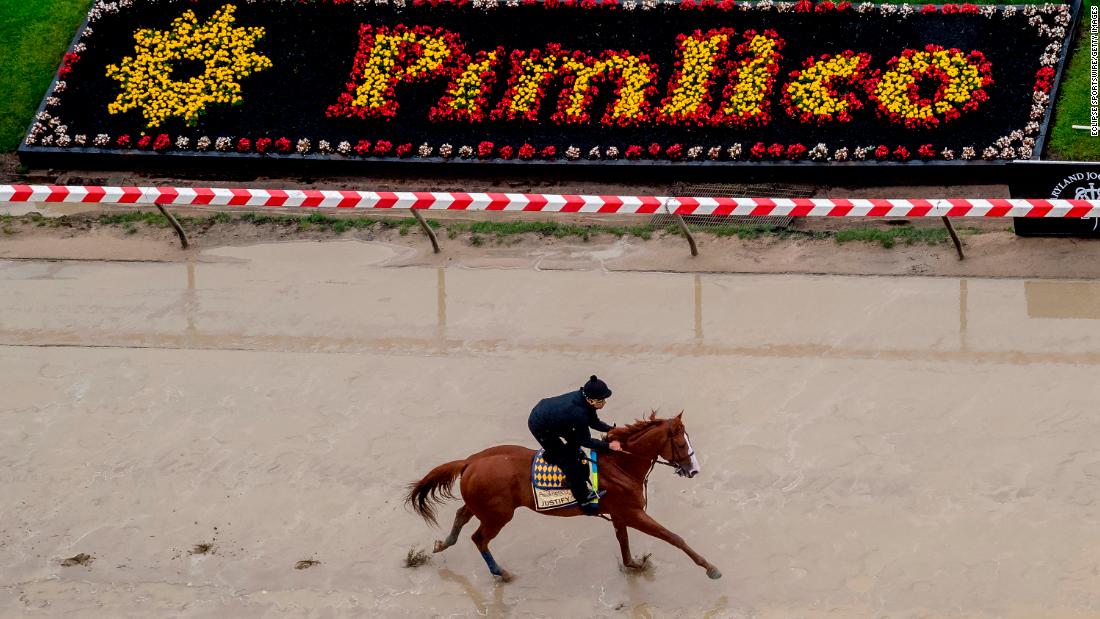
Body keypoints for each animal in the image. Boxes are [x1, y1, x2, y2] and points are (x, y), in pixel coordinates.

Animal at [404, 413, 721, 584]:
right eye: (681, 444)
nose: (694, 469)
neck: (620, 463)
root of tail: (470, 461)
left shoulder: (620, 514)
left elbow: (624, 542)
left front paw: (634, 564)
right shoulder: (633, 513)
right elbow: (673, 537)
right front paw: (711, 568)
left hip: (482, 505)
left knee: (461, 515)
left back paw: (443, 543)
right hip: (499, 515)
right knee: (479, 538)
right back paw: (502, 573)